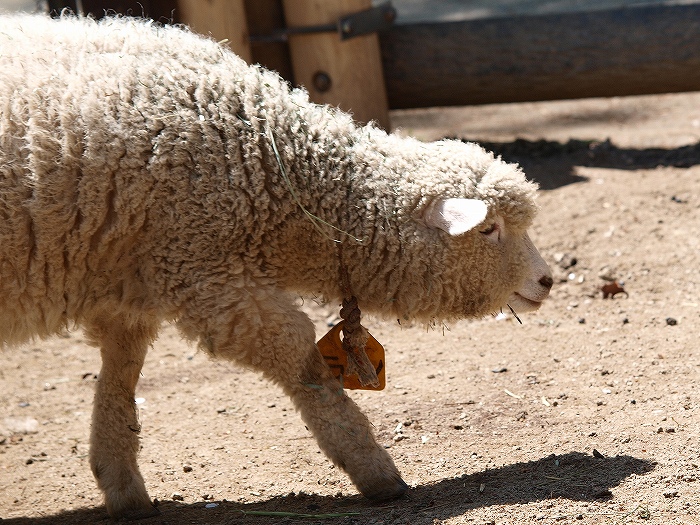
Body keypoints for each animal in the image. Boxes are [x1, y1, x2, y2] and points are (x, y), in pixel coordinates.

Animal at [0, 14, 556, 516]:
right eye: (489, 229)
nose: (547, 280)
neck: (273, 167)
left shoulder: (134, 284)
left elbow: (120, 378)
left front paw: (122, 486)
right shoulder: (206, 277)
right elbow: (301, 358)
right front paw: (374, 469)